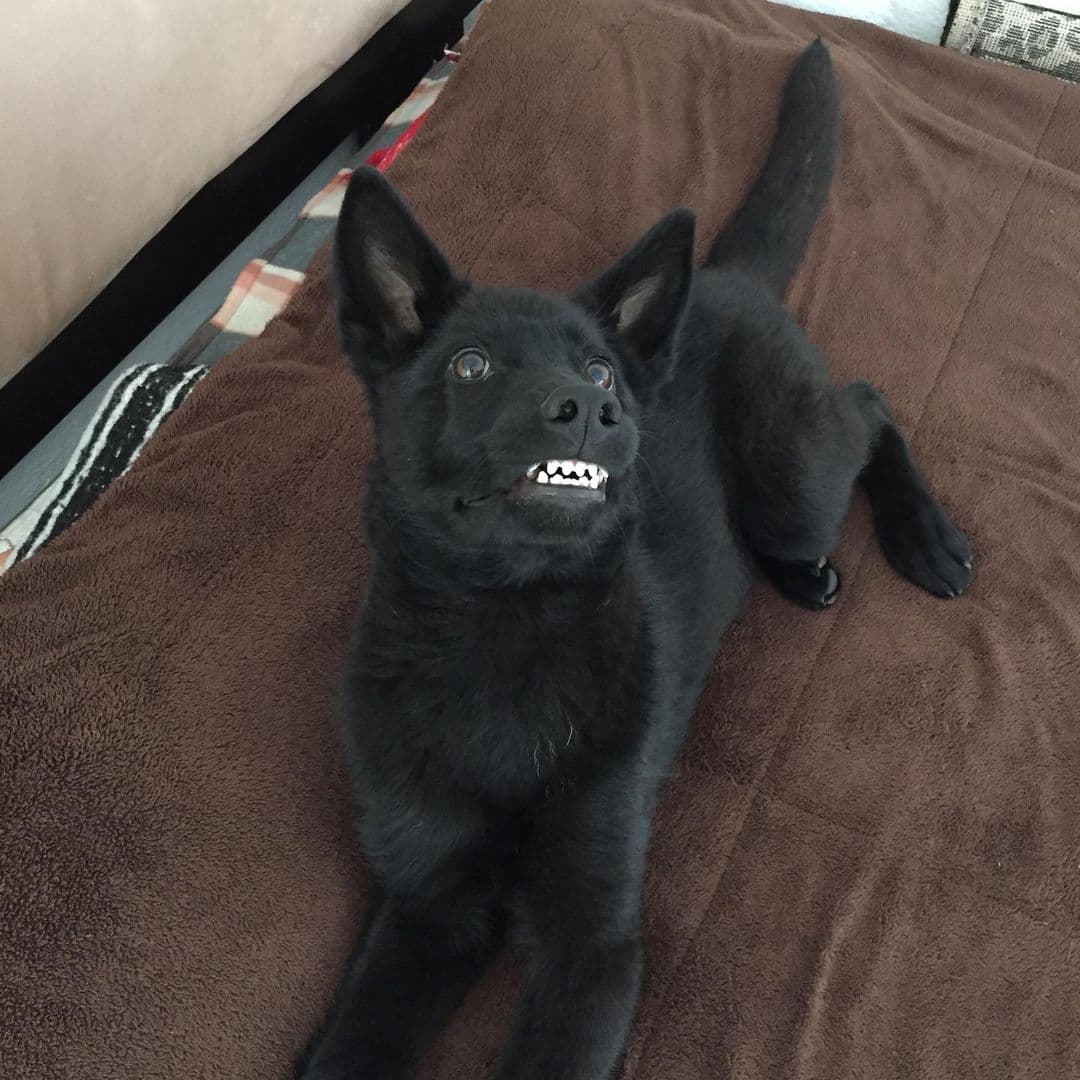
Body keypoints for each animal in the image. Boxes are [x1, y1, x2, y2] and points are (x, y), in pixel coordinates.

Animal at [300, 42, 976, 1080]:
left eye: (598, 370)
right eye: (469, 365)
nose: (596, 409)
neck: (510, 626)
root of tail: (724, 280)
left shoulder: (595, 938)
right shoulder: (427, 911)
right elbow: (350, 1045)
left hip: (792, 477)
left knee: (868, 406)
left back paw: (921, 538)